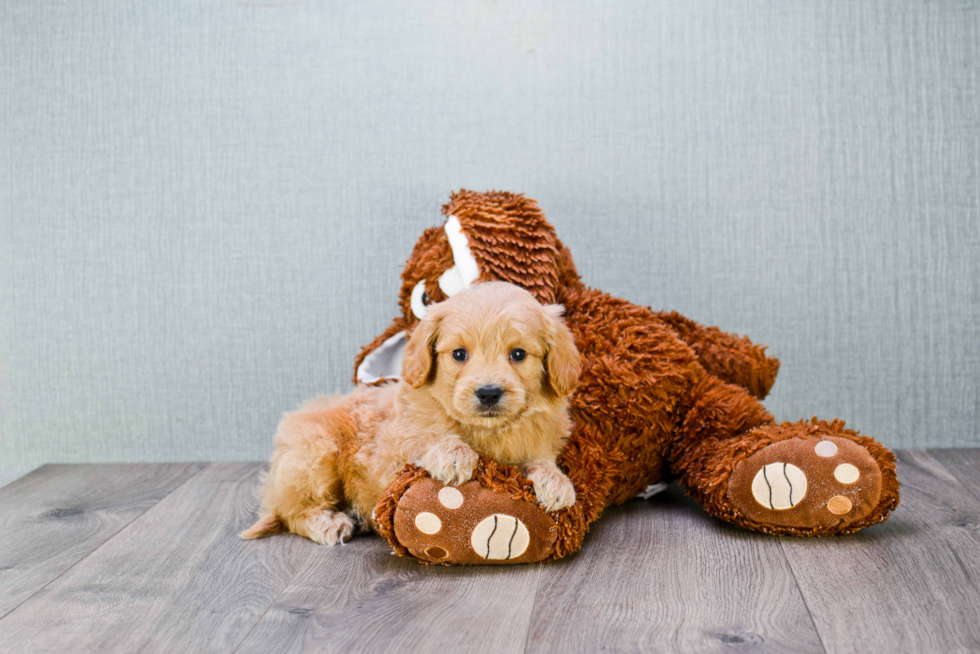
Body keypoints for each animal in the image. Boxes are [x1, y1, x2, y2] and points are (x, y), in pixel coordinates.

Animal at [244, 284, 580, 544]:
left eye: (518, 354)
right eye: (459, 354)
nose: (488, 392)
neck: (488, 431)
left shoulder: (537, 444)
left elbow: (539, 460)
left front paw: (556, 481)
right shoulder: (393, 449)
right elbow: (426, 438)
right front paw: (454, 454)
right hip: (314, 455)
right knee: (291, 512)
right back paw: (330, 522)